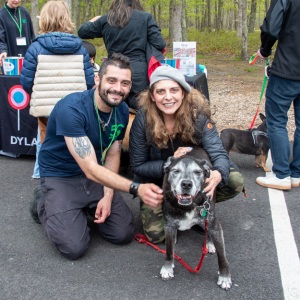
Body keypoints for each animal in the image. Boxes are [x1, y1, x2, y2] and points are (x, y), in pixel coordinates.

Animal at [162, 148, 232, 290]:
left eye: (198, 172)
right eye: (176, 171)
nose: (186, 184)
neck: (188, 205)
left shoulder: (214, 225)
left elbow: (222, 255)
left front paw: (224, 276)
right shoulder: (169, 225)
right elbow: (169, 249)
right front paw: (167, 266)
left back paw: (209, 243)